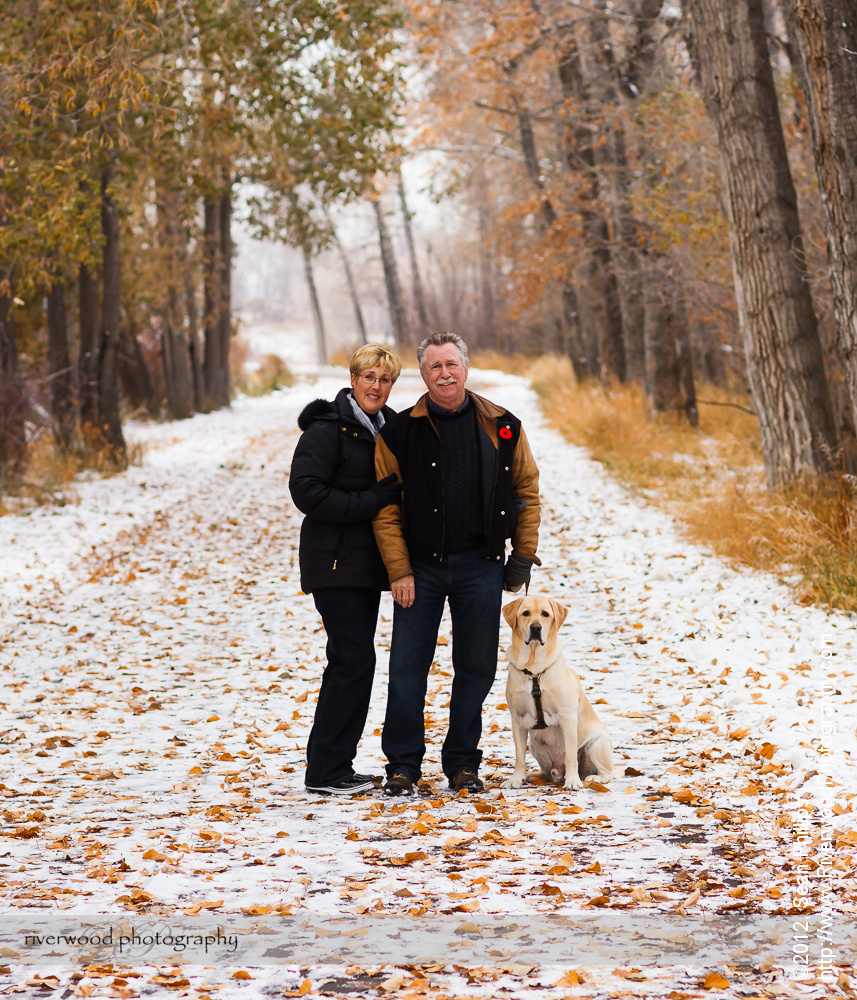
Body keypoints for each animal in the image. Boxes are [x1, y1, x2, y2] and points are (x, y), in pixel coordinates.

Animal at [498, 592, 612, 788]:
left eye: (545, 614)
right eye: (526, 613)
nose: (536, 627)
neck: (534, 670)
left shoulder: (567, 717)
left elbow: (570, 756)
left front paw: (573, 782)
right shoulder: (517, 719)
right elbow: (519, 757)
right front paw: (515, 780)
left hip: (596, 744)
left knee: (610, 773)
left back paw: (593, 778)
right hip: (535, 746)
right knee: (546, 773)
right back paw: (532, 776)